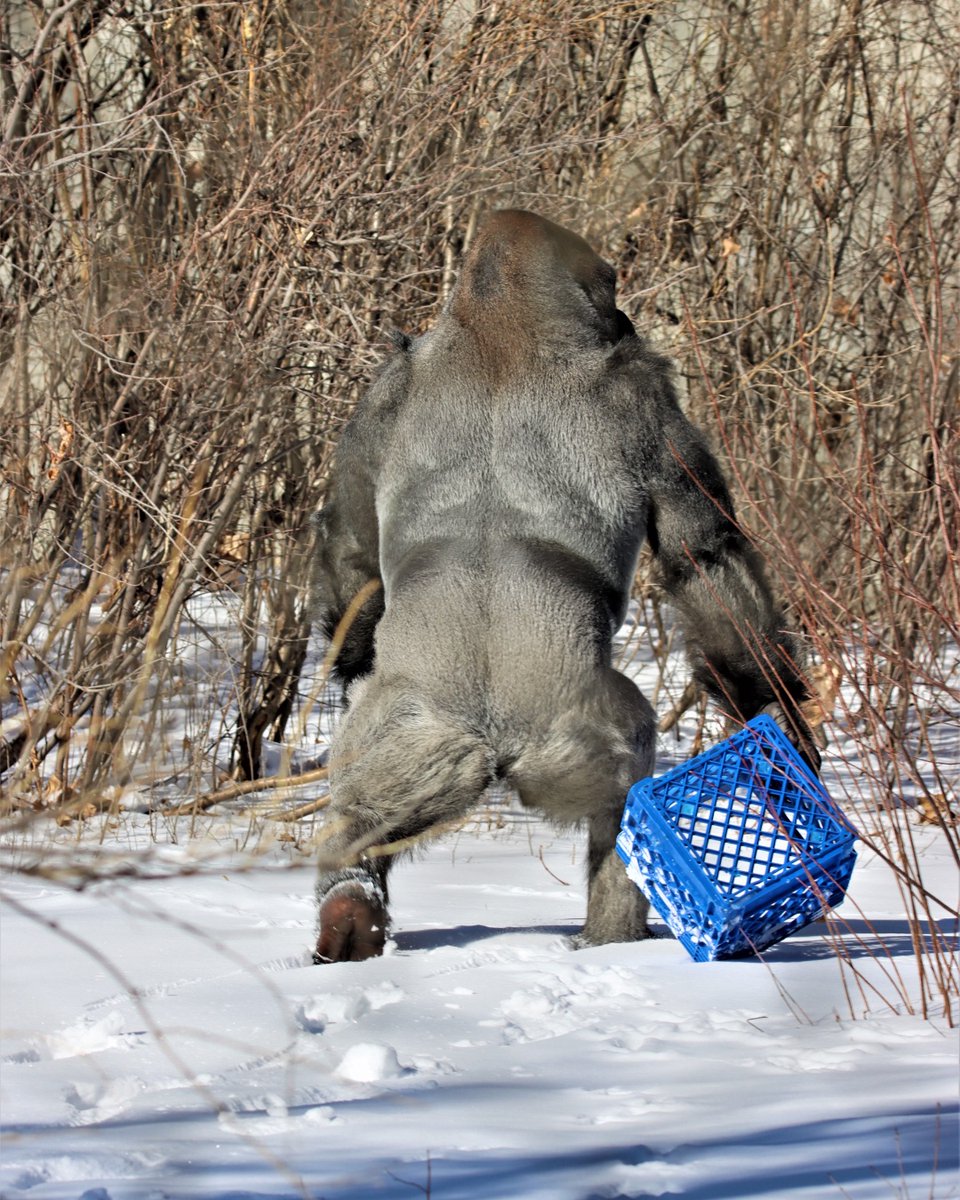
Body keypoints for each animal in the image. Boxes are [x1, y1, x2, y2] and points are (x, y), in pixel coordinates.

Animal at [311, 209, 818, 964]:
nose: (625, 314)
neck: (499, 319)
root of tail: (492, 741)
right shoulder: (645, 391)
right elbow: (704, 558)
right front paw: (774, 704)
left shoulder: (378, 395)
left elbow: (356, 556)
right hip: (578, 738)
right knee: (626, 800)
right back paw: (614, 933)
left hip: (412, 737)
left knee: (364, 810)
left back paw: (348, 910)